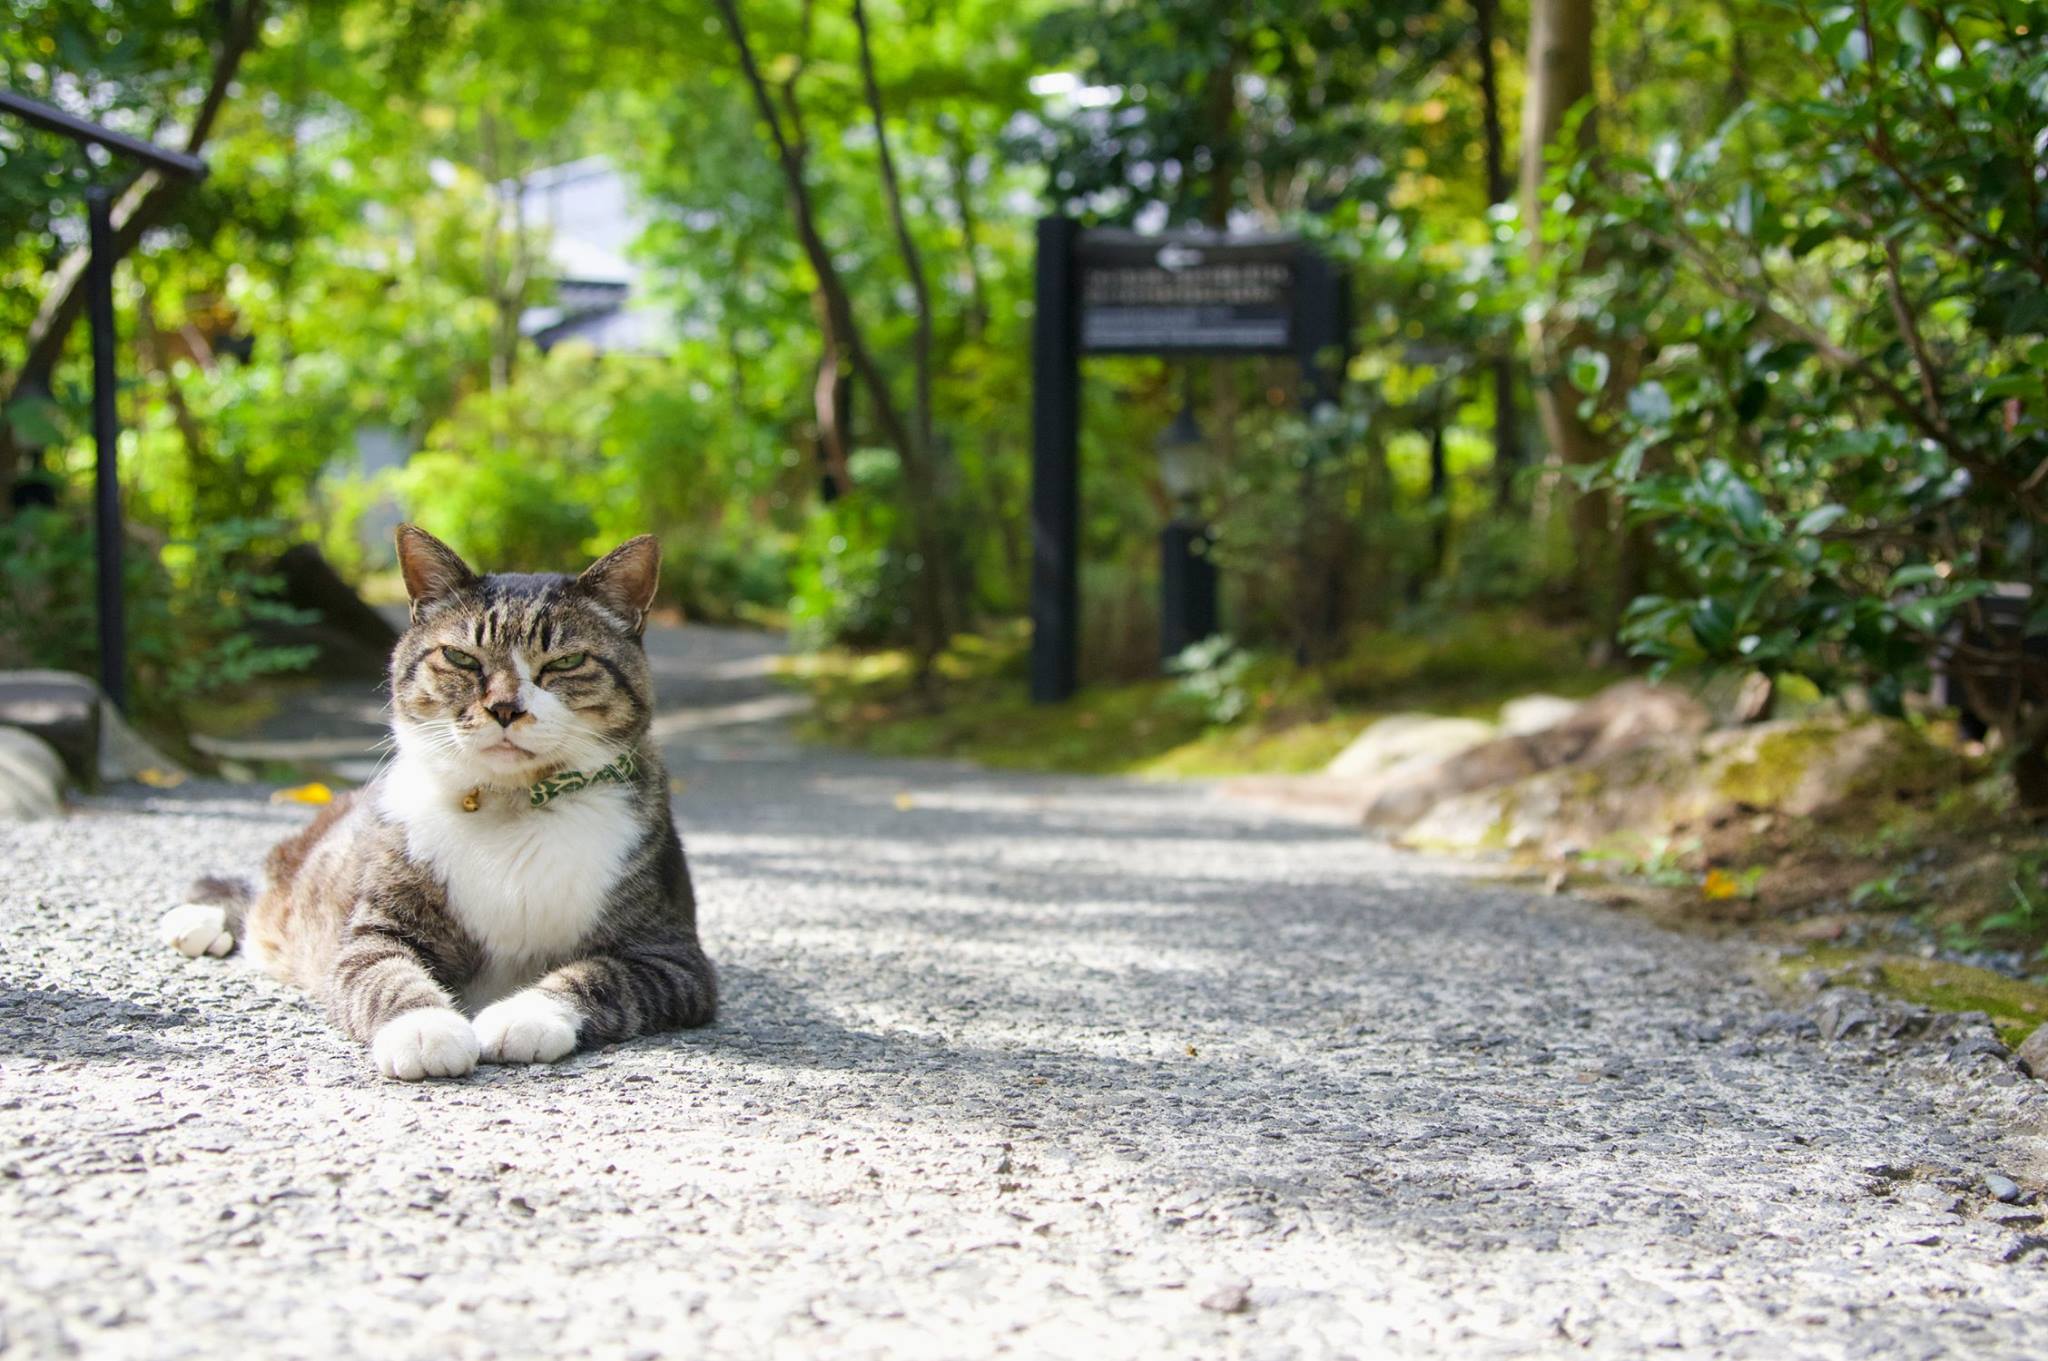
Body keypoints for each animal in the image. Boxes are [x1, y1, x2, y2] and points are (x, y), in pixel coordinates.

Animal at [159, 523, 720, 1080]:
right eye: (460, 658)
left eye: (566, 661)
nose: (505, 708)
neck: (513, 803)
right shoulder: (372, 932)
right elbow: (385, 974)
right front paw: (425, 1029)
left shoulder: (672, 957)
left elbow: (597, 975)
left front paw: (524, 1015)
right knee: (258, 888)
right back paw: (195, 923)